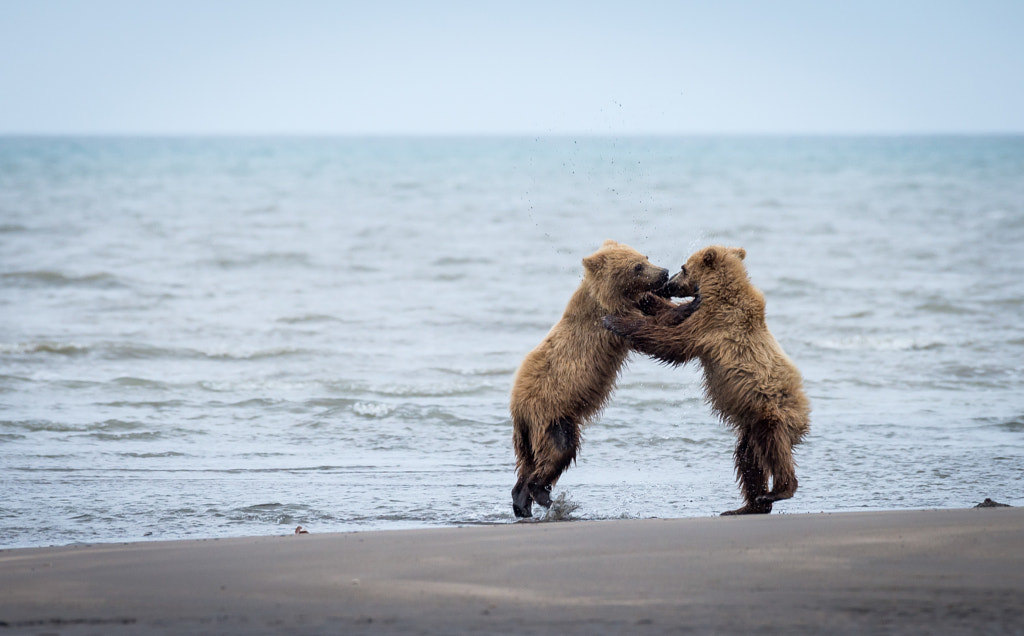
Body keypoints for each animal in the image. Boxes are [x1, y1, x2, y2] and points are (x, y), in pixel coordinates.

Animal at [507, 237, 667, 516]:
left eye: (646, 257)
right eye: (637, 267)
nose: (664, 272)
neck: (607, 296)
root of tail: (517, 407)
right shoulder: (608, 321)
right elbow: (643, 329)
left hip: (529, 433)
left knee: (528, 463)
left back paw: (523, 504)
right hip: (552, 414)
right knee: (559, 450)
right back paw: (544, 495)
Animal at [602, 245, 811, 514]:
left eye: (683, 268)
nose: (668, 283)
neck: (721, 292)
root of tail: (804, 417)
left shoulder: (713, 323)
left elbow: (670, 341)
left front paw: (616, 321)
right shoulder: (707, 315)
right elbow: (672, 318)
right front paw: (647, 299)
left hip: (769, 411)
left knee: (773, 447)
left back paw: (779, 491)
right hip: (750, 427)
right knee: (748, 459)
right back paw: (750, 505)